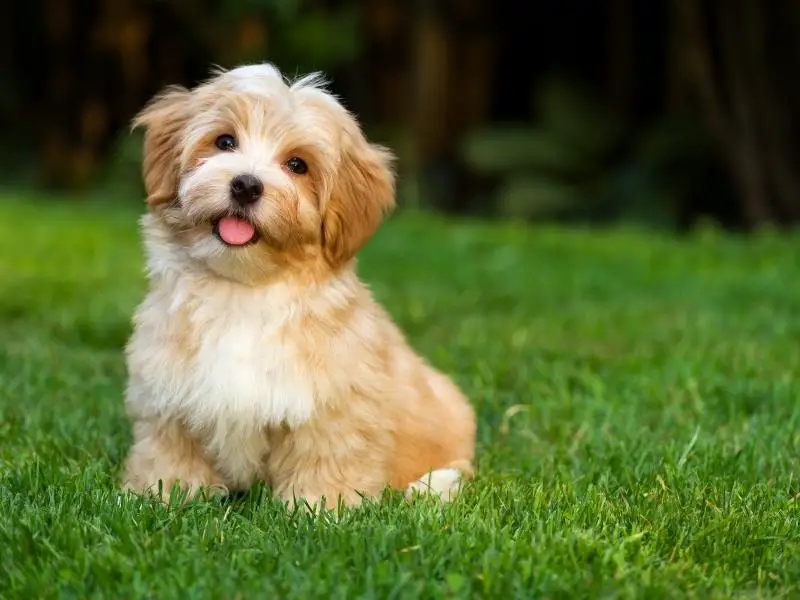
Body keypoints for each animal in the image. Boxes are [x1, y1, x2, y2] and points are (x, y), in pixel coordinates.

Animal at [122, 63, 478, 508]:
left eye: (297, 164)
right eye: (224, 141)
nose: (246, 184)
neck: (244, 289)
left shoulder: (333, 404)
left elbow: (326, 454)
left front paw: (320, 506)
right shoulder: (168, 393)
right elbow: (170, 449)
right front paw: (163, 493)